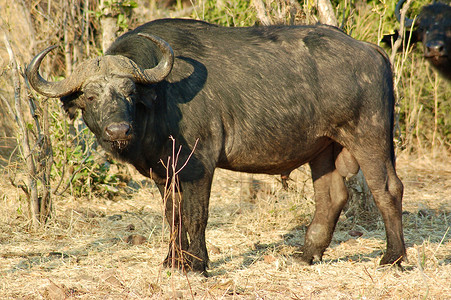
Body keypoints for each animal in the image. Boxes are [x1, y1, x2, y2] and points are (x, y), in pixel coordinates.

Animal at [25, 17, 406, 274]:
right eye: (90, 96)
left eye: (130, 91)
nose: (118, 129)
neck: (160, 99)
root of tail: (370, 49)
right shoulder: (165, 172)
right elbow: (173, 215)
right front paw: (173, 261)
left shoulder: (198, 166)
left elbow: (196, 215)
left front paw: (196, 263)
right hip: (323, 148)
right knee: (332, 196)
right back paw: (307, 254)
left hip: (368, 135)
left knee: (388, 188)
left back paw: (393, 257)